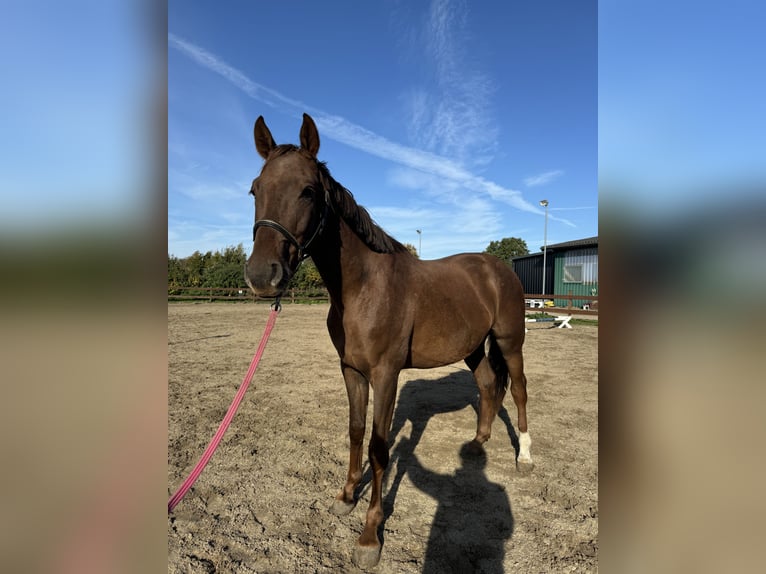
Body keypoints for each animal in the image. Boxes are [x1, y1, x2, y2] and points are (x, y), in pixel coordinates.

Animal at [246, 113, 536, 572]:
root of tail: (497, 267)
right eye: (255, 189)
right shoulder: (351, 370)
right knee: (489, 385)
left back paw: (524, 455)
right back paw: (477, 444)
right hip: (473, 347)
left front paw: (369, 536)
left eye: (308, 190)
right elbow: (355, 431)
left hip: (510, 341)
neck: (365, 287)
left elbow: (380, 447)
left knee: (520, 390)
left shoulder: (386, 375)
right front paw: (346, 496)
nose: (262, 275)